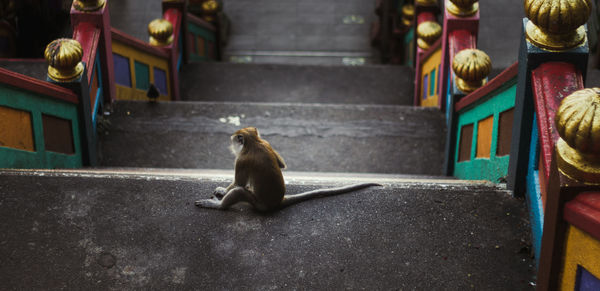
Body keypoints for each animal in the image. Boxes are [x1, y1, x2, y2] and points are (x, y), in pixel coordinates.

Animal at [197, 126, 384, 211]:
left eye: (235, 140)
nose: (231, 144)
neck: (254, 142)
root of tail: (279, 201)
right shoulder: (266, 142)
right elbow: (282, 165)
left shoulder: (241, 159)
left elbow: (238, 184)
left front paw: (222, 192)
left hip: (258, 204)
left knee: (240, 192)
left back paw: (218, 206)